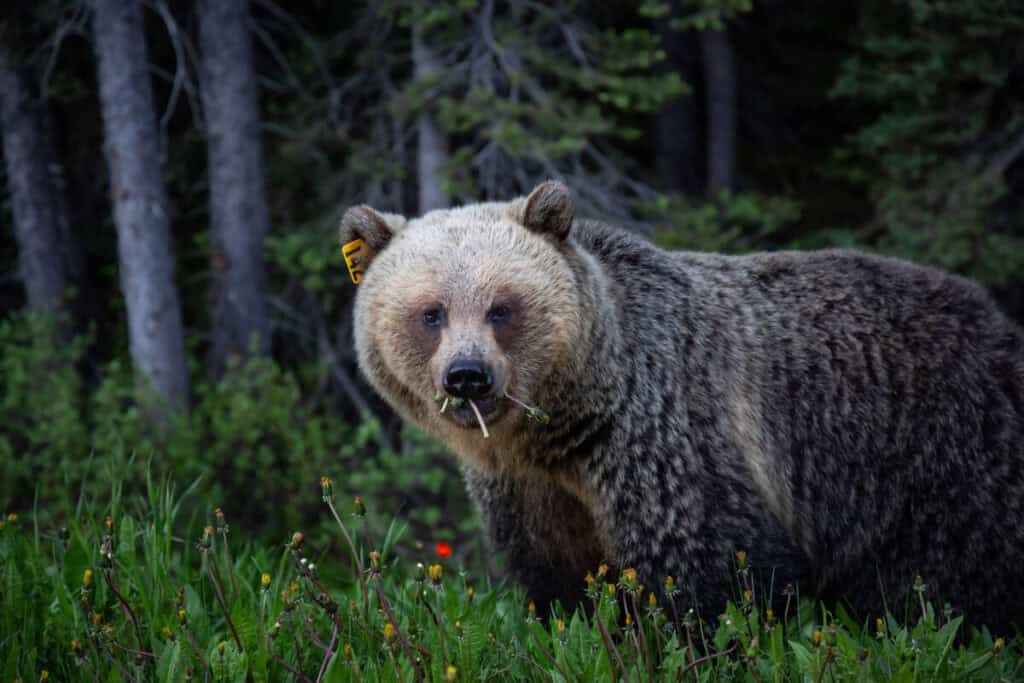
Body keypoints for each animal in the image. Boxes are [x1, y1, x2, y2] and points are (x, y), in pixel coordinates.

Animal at [339, 179, 1024, 626]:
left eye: (502, 307)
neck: (566, 426)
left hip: (931, 456)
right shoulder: (529, 489)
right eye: (431, 312)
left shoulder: (665, 431)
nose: (468, 376)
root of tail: (999, 325)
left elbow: (709, 567)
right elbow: (558, 577)